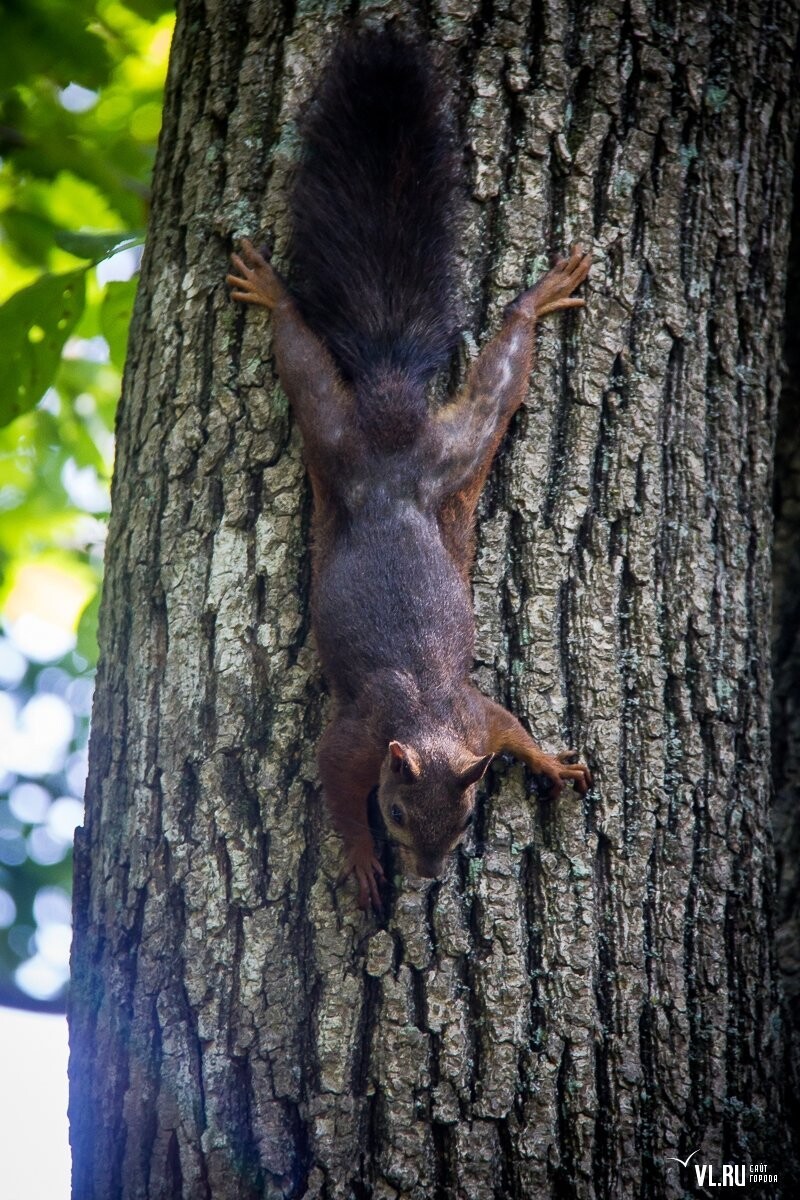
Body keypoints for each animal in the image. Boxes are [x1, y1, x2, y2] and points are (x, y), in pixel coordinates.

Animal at [227, 25, 592, 907]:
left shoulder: (476, 718)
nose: (426, 877)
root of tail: (393, 428)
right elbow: (333, 786)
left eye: (463, 824)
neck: (426, 717)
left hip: (452, 456)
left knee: (497, 382)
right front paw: (362, 860)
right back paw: (276, 295)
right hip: (346, 438)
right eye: (395, 814)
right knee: (306, 365)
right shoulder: (359, 740)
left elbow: (514, 731)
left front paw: (549, 761)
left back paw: (533, 303)